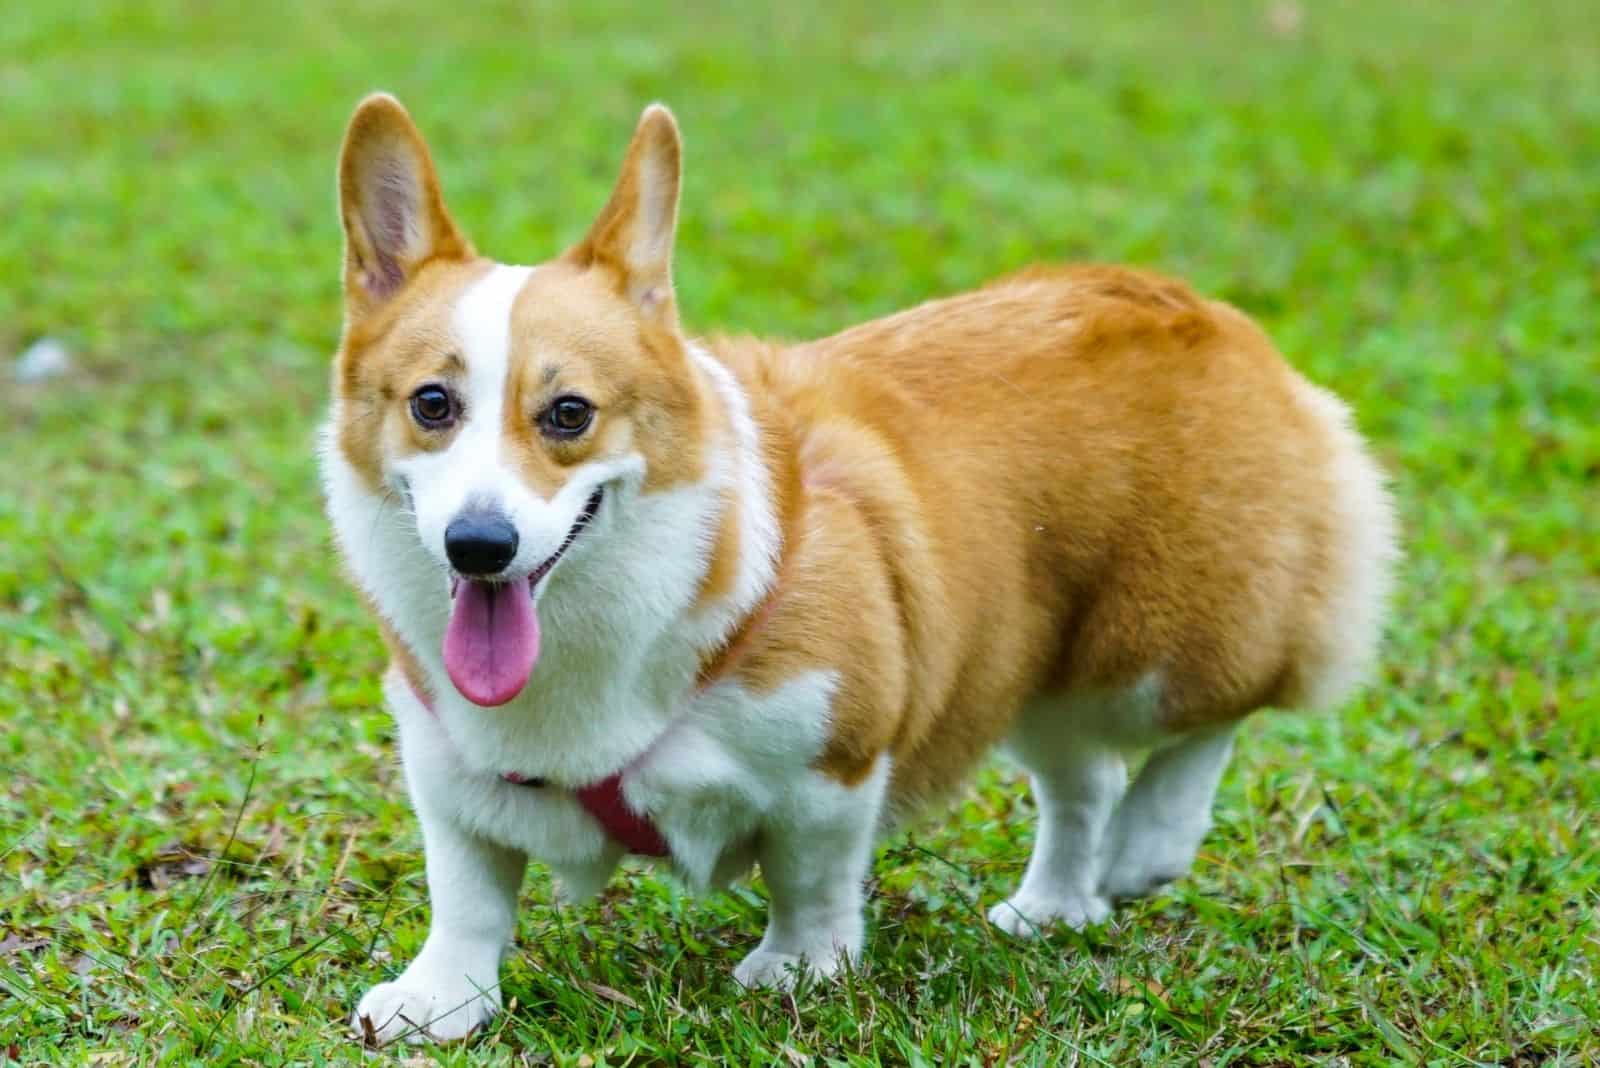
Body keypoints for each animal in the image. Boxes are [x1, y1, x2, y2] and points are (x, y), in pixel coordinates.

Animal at [328, 91, 1401, 1042]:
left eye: (568, 414)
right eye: (432, 404)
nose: (479, 546)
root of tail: (1209, 312)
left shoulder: (834, 761)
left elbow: (809, 876)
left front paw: (799, 969)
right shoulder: (450, 771)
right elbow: (468, 890)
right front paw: (440, 998)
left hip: (1155, 649)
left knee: (1217, 713)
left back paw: (1149, 844)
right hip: (1025, 658)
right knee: (1083, 776)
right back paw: (1056, 904)